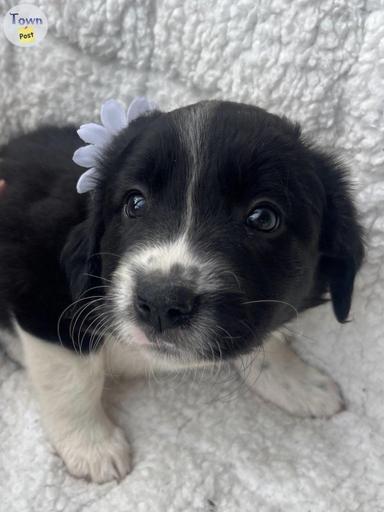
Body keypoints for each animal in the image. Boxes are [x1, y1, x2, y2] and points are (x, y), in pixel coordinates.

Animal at [0, 101, 364, 484]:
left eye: (263, 217)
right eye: (135, 203)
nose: (162, 303)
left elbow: (268, 341)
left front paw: (298, 383)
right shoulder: (37, 288)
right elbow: (71, 379)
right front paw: (92, 448)